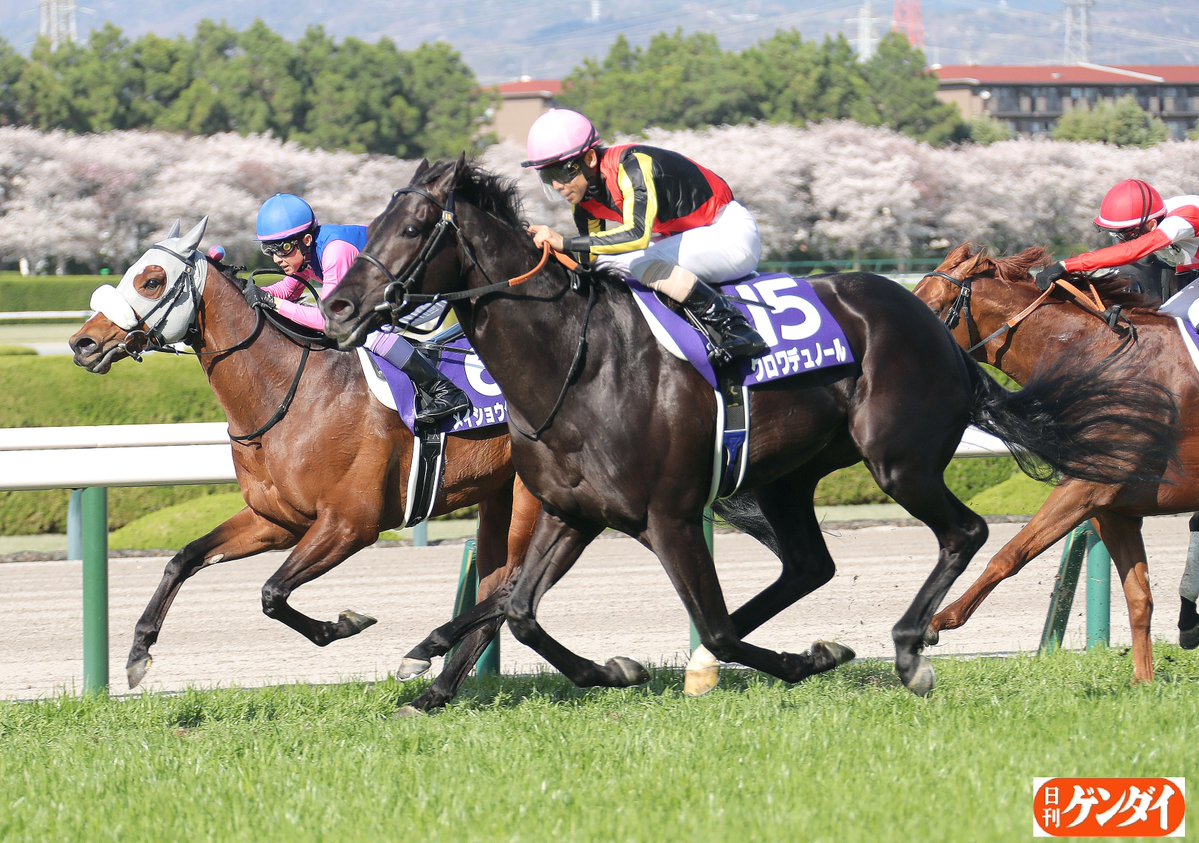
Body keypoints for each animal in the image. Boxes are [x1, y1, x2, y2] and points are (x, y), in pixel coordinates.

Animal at [67, 218, 542, 712]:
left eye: (152, 281)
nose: (82, 343)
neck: (291, 394)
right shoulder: (276, 520)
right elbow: (184, 559)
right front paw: (138, 652)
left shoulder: (350, 524)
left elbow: (272, 593)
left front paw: (345, 623)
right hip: (497, 495)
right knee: (498, 589)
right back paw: (434, 691)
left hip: (530, 495)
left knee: (511, 589)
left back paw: (425, 657)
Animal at [914, 243, 1198, 682]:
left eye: (929, 305)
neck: (1101, 361)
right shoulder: (1112, 508)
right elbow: (1139, 596)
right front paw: (1143, 682)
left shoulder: (1087, 488)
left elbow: (1009, 554)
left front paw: (936, 622)